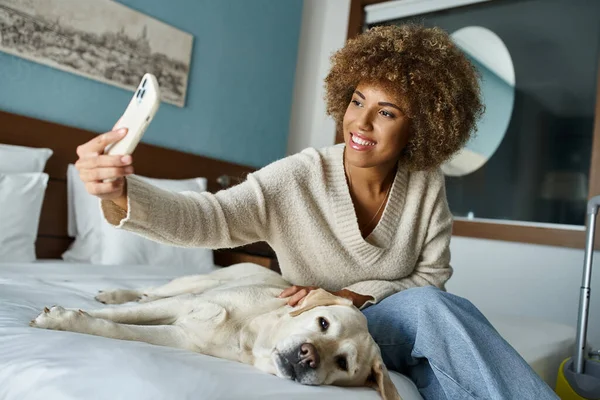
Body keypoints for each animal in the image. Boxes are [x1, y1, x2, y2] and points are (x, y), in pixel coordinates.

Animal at [30, 262, 400, 400]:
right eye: (323, 323)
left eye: (342, 363)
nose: (307, 357)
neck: (249, 335)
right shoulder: (181, 306)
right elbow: (119, 316)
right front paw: (62, 319)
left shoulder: (181, 336)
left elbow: (118, 329)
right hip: (191, 285)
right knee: (150, 292)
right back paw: (114, 293)